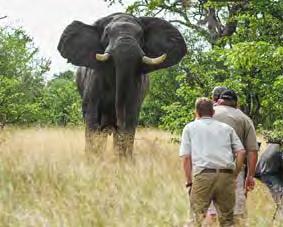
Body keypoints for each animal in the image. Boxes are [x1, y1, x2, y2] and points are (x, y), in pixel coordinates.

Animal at [57, 12, 187, 158]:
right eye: (107, 34)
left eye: (141, 36)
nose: (117, 123)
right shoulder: (93, 82)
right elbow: (92, 119)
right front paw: (93, 160)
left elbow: (130, 118)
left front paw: (123, 160)